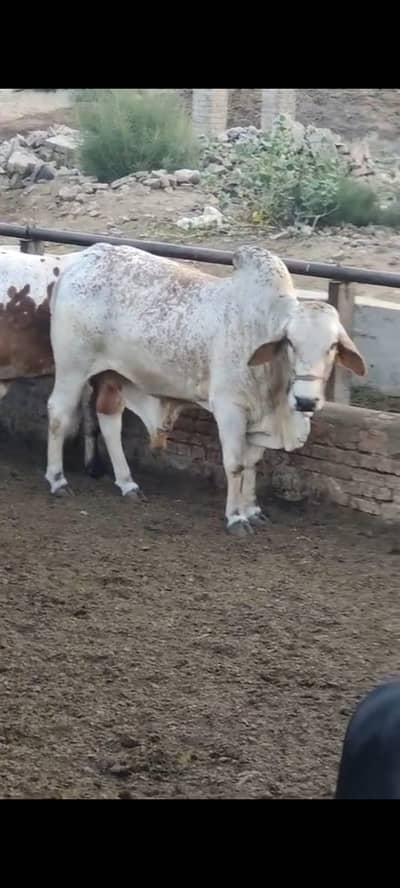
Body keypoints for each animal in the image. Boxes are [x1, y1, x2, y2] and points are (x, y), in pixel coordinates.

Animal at [45, 242, 367, 535]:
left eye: (333, 346)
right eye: (290, 342)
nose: (305, 401)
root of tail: (79, 261)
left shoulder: (257, 416)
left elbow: (252, 464)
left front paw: (253, 511)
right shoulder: (230, 409)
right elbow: (235, 464)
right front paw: (236, 518)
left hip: (113, 375)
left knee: (109, 420)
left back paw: (128, 484)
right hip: (73, 369)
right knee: (58, 414)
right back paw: (58, 480)